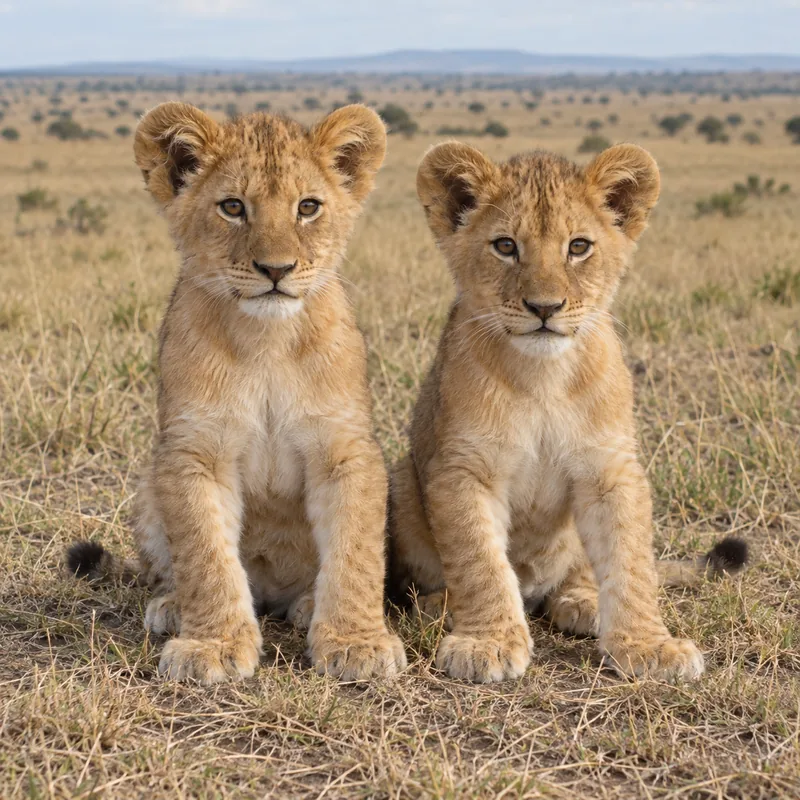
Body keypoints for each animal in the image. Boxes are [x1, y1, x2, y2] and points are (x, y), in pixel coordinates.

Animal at [67, 102, 406, 685]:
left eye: (308, 207)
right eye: (232, 207)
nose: (276, 270)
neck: (267, 341)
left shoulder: (345, 447)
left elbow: (355, 553)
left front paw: (356, 642)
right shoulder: (193, 450)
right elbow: (206, 555)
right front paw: (213, 645)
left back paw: (308, 605)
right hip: (149, 486)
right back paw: (172, 606)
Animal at [388, 141, 747, 683]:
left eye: (578, 247)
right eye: (505, 246)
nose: (544, 307)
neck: (544, 379)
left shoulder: (610, 467)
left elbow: (631, 561)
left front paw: (648, 647)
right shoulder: (463, 470)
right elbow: (480, 561)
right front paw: (487, 643)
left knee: (578, 575)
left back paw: (584, 603)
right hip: (402, 479)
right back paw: (442, 607)